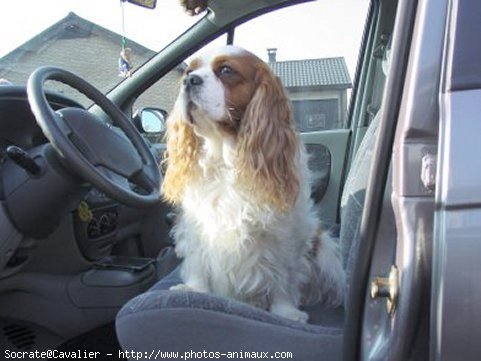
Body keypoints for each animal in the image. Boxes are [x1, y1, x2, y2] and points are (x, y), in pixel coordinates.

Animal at [163, 45, 344, 320]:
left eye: (226, 70)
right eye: (188, 70)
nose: (189, 81)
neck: (225, 160)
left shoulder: (285, 235)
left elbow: (283, 276)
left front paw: (286, 311)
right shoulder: (196, 225)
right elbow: (197, 259)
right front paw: (194, 290)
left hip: (325, 250)